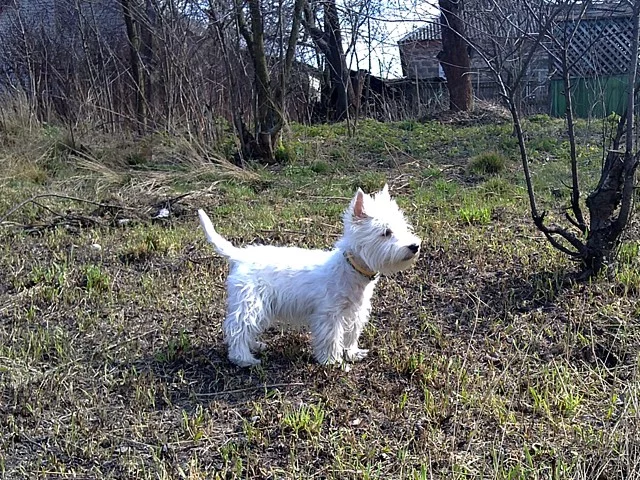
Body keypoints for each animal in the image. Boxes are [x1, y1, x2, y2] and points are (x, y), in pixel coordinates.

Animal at [198, 184, 421, 367]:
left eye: (404, 228)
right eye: (386, 232)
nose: (414, 246)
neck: (351, 269)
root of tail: (239, 255)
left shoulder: (355, 311)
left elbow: (351, 334)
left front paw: (352, 353)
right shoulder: (329, 314)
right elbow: (331, 338)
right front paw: (332, 361)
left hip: (260, 306)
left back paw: (256, 346)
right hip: (250, 303)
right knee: (237, 329)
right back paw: (244, 359)